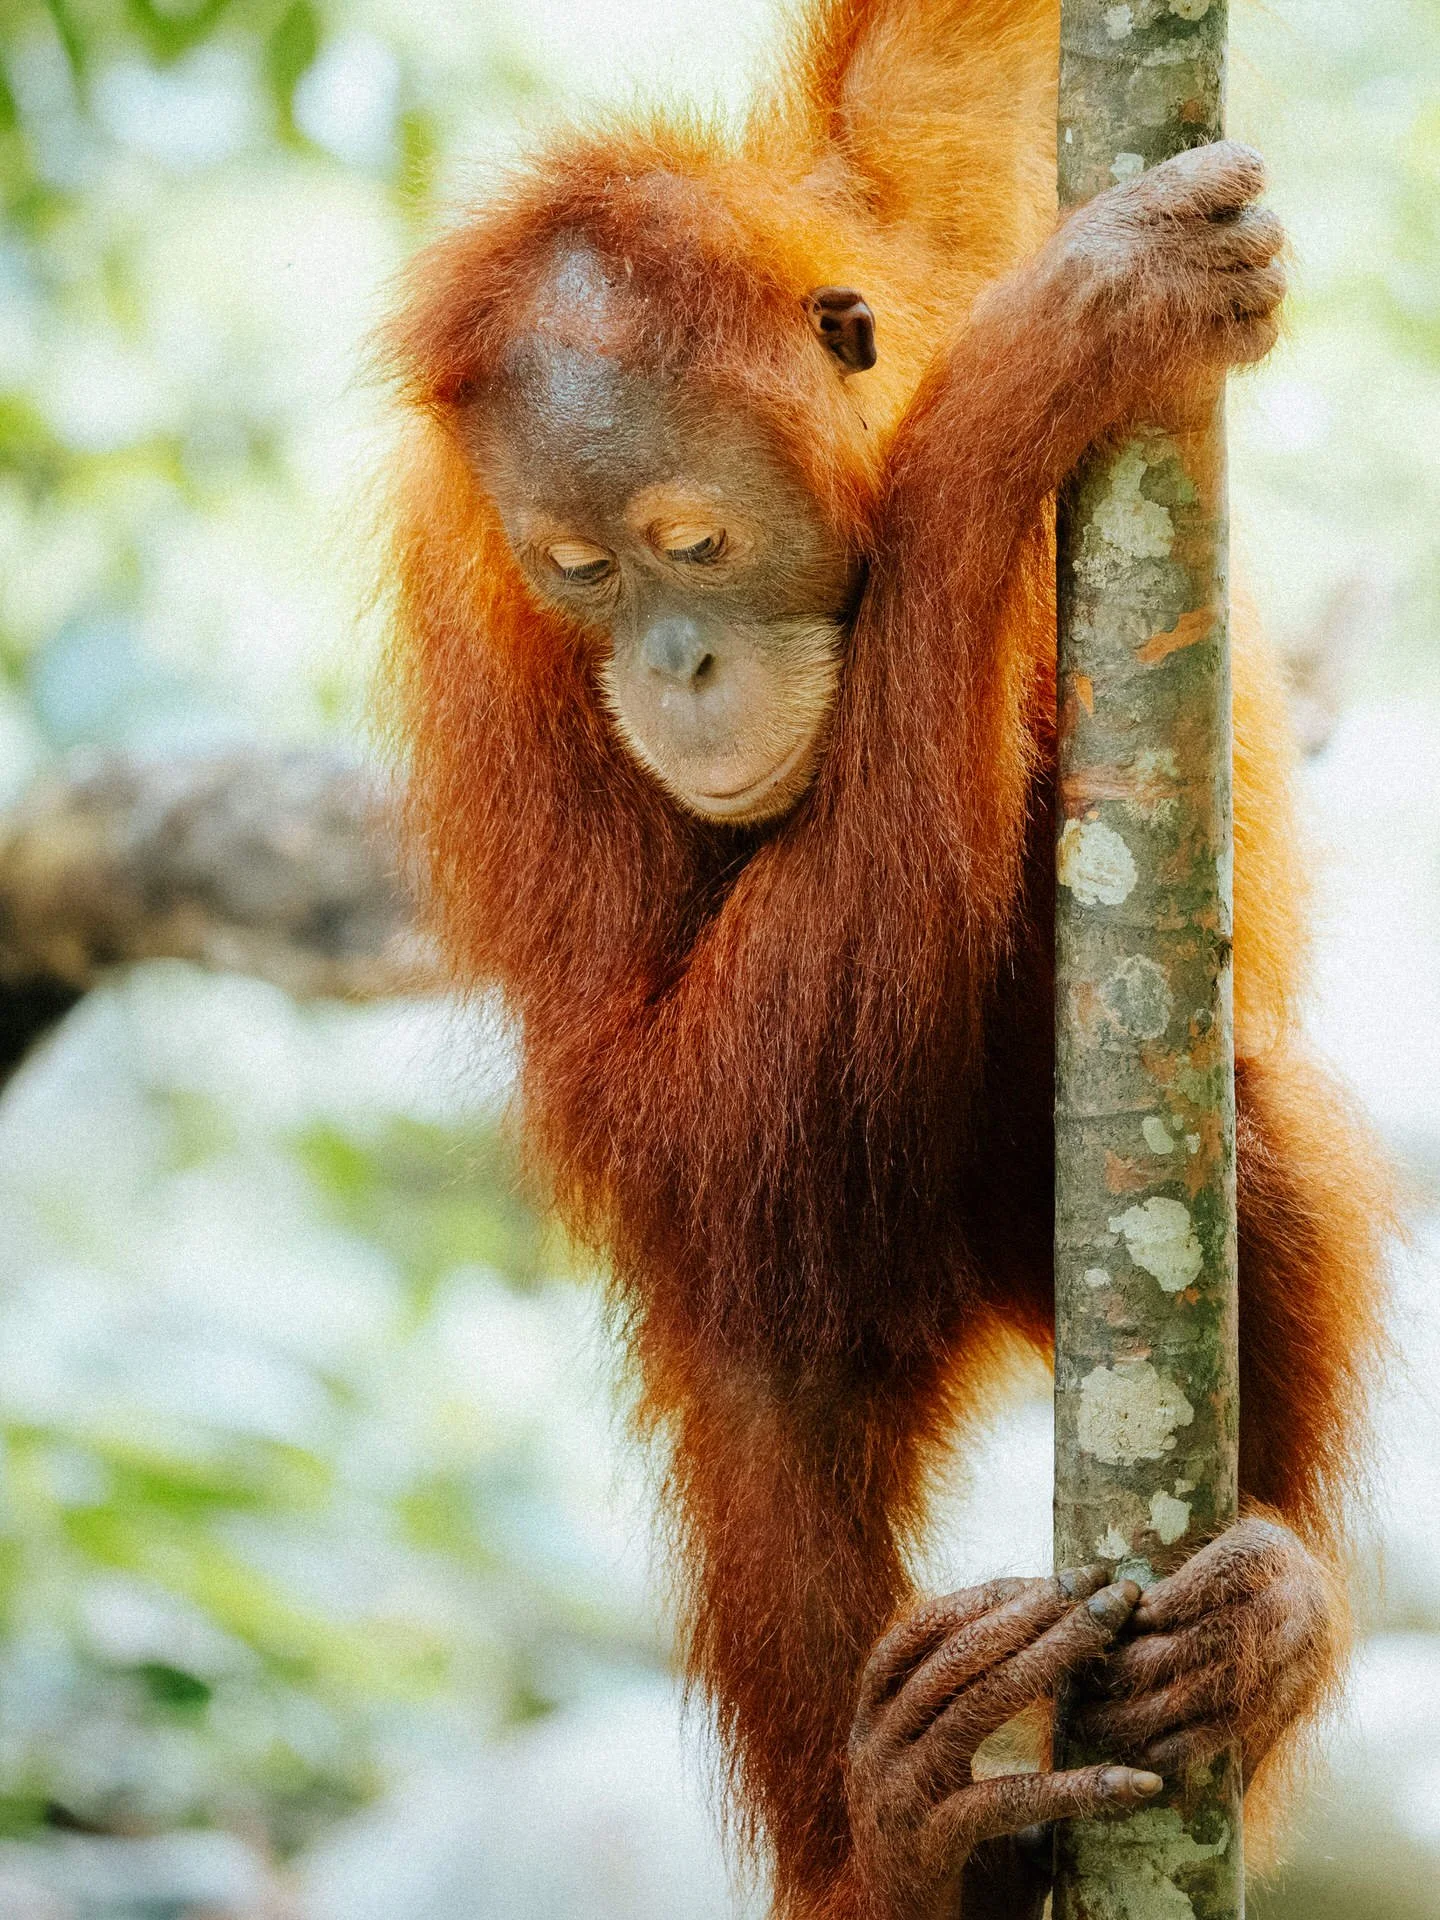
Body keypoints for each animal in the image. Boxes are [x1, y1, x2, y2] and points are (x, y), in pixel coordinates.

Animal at [377, 0, 1391, 1913]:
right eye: (580, 572)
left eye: (690, 544)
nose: (677, 667)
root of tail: (963, 1304)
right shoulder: (493, 658)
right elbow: (665, 1096)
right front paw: (1032, 378)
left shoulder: (912, 164)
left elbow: (962, 55)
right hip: (801, 1292)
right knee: (774, 1424)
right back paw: (907, 1828)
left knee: (1233, 1103)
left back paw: (1267, 1615)